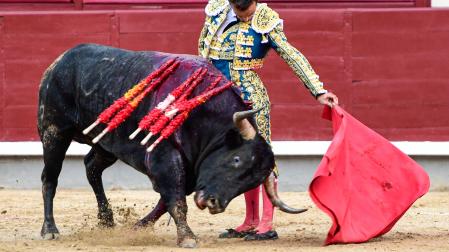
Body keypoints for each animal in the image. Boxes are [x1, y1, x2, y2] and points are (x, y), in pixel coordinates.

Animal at [36, 43, 304, 248]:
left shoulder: (190, 168)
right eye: (236, 159)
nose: (214, 203)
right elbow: (175, 199)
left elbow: (166, 202)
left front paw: (137, 227)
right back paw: (50, 229)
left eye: (252, 182)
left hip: (106, 143)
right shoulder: (165, 158)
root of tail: (59, 61)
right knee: (50, 177)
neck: (203, 114)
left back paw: (106, 220)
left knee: (91, 167)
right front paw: (187, 238)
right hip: (54, 132)